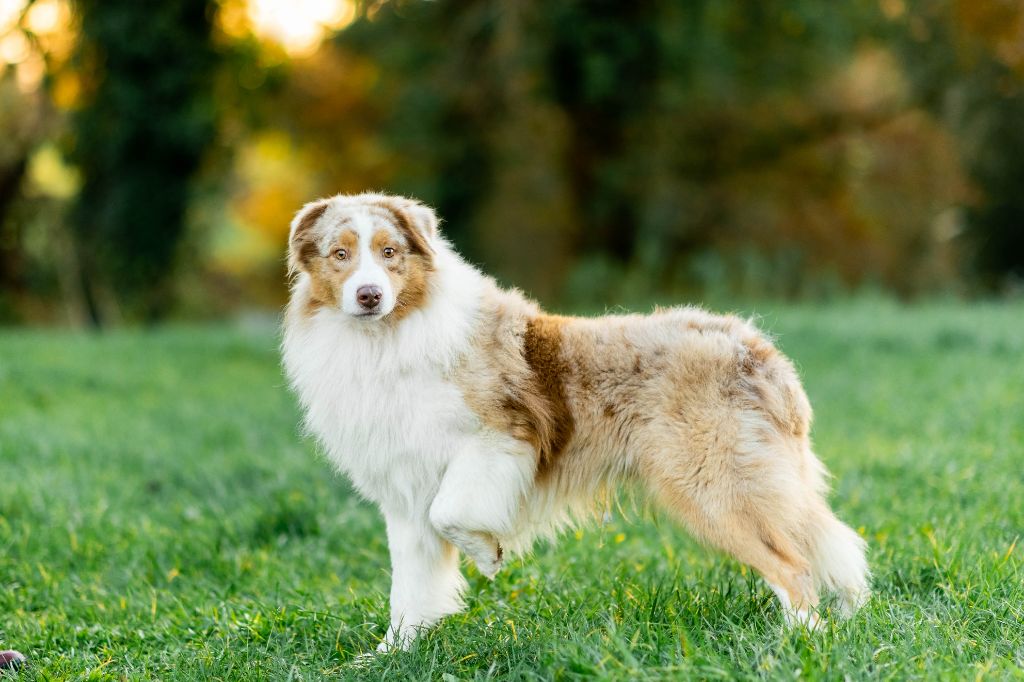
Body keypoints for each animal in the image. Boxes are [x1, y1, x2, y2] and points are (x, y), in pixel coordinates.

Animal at [282, 193, 872, 651]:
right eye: (340, 255)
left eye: (390, 253)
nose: (369, 295)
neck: (386, 338)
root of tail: (757, 348)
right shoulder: (404, 490)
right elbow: (411, 584)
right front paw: (392, 654)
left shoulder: (504, 438)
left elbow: (451, 512)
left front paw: (488, 553)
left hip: (711, 487)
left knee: (793, 564)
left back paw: (799, 640)